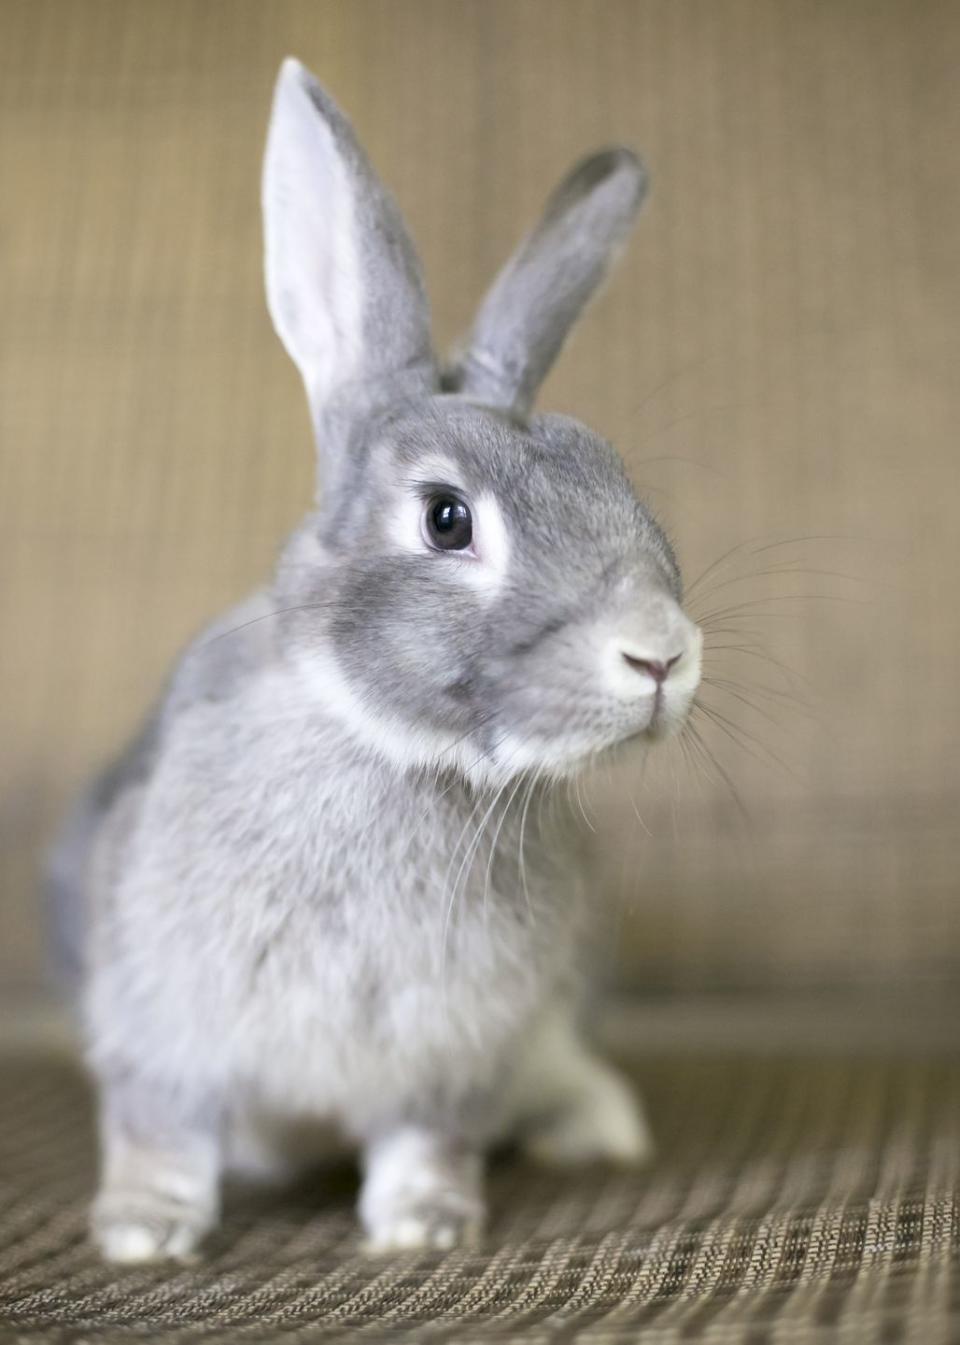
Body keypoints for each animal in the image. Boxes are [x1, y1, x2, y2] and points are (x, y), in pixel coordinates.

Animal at [48, 60, 699, 1258]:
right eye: (447, 518)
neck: (395, 753)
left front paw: (426, 1227)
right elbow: (160, 1131)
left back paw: (596, 1128)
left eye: (616, 476)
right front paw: (142, 1231)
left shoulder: (450, 1057)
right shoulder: (158, 1025)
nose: (661, 654)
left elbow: (425, 1141)